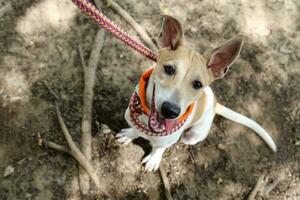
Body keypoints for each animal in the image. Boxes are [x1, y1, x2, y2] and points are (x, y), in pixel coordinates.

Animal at [116, 15, 276, 172]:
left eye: (198, 84)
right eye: (169, 69)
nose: (170, 111)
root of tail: (215, 103)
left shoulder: (166, 141)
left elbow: (159, 149)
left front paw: (154, 159)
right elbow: (135, 130)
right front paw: (130, 134)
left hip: (194, 135)